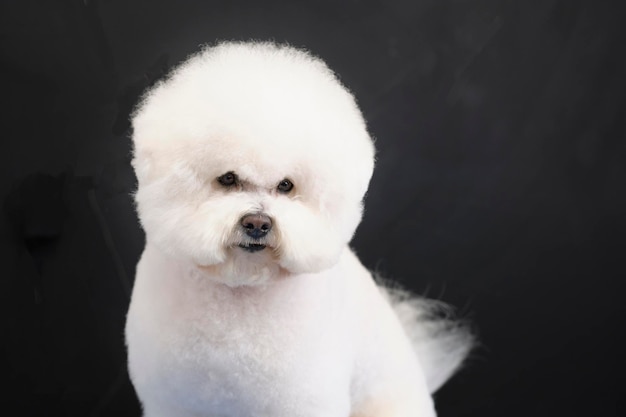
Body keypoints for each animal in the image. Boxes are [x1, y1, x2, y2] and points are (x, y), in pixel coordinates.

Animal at [125, 39, 468, 416]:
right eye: (228, 178)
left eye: (286, 186)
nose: (257, 223)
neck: (240, 292)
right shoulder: (173, 400)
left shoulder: (301, 399)